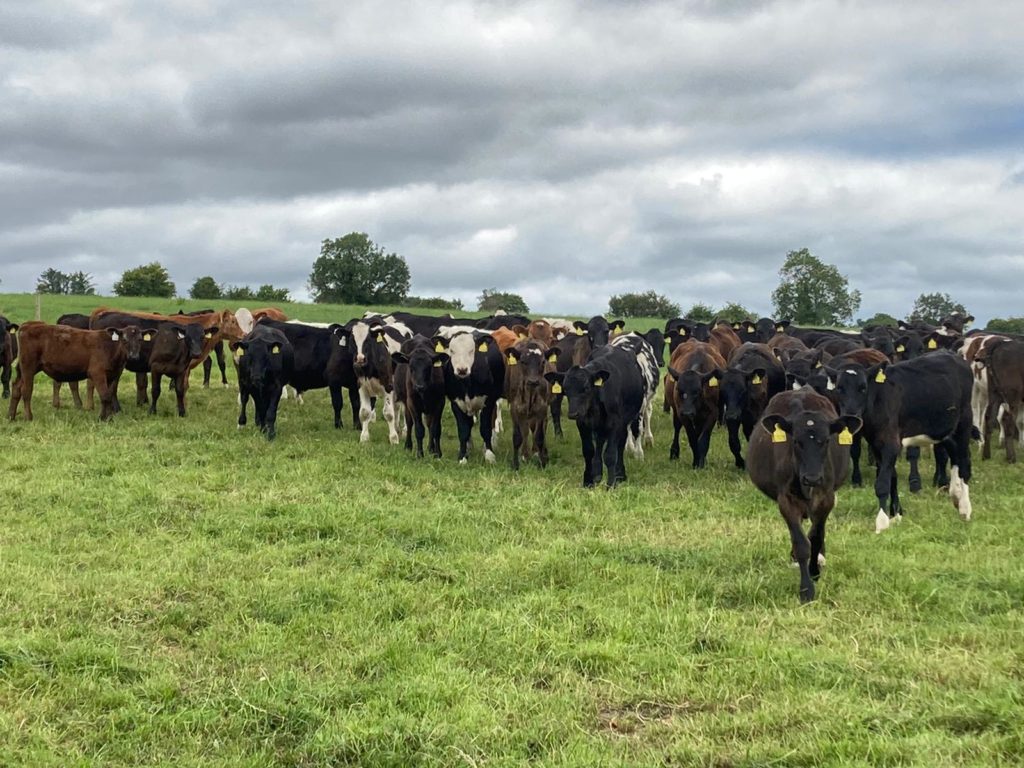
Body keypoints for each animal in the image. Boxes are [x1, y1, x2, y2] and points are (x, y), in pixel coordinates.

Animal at [9, 322, 144, 421]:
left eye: (140, 340)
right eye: (124, 340)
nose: (134, 357)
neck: (110, 347)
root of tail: (28, 325)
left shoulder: (112, 375)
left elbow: (109, 396)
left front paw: (109, 417)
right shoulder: (97, 373)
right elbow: (105, 396)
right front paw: (102, 418)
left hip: (25, 369)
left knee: (16, 387)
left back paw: (11, 415)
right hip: (28, 367)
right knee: (26, 390)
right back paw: (28, 417)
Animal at [504, 340, 556, 469]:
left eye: (542, 362)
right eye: (523, 362)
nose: (533, 381)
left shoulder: (542, 409)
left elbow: (540, 436)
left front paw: (542, 463)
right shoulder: (515, 408)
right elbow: (518, 436)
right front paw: (516, 464)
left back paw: (541, 453)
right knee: (526, 430)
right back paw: (525, 455)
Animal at [544, 343, 644, 488]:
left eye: (586, 388)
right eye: (565, 389)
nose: (573, 413)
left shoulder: (615, 423)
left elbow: (610, 454)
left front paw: (611, 484)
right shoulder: (582, 423)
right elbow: (588, 451)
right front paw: (588, 481)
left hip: (625, 421)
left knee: (620, 444)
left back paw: (620, 474)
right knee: (599, 443)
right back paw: (597, 474)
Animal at [747, 388, 862, 602]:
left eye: (826, 440)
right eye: (796, 441)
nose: (812, 478)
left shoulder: (826, 499)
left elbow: (815, 537)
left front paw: (814, 571)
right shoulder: (786, 501)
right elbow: (801, 543)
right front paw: (806, 589)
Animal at [823, 352, 974, 533]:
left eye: (863, 388)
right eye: (839, 388)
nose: (851, 415)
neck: (878, 400)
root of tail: (954, 356)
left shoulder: (891, 443)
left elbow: (882, 484)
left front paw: (882, 522)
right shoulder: (876, 444)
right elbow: (892, 478)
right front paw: (896, 514)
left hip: (964, 421)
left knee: (964, 462)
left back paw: (965, 508)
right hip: (944, 428)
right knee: (954, 453)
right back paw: (955, 493)